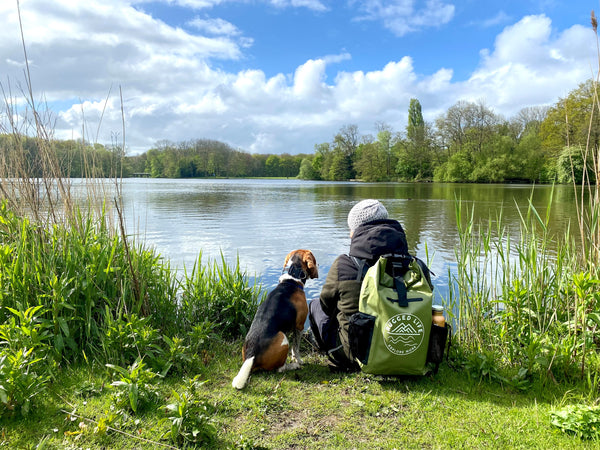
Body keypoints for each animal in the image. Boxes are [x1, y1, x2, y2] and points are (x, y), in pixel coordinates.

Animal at [232, 248, 318, 388]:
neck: (292, 279)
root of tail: (251, 356)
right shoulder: (299, 326)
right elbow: (296, 348)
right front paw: (298, 360)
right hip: (283, 339)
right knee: (280, 368)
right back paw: (293, 366)